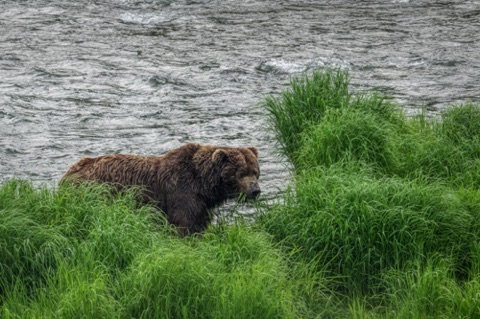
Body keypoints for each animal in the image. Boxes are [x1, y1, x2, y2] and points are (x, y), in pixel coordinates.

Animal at [62, 144, 262, 236]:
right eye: (241, 173)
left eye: (255, 171)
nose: (255, 190)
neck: (203, 186)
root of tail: (68, 172)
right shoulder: (181, 195)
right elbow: (184, 227)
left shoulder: (202, 206)